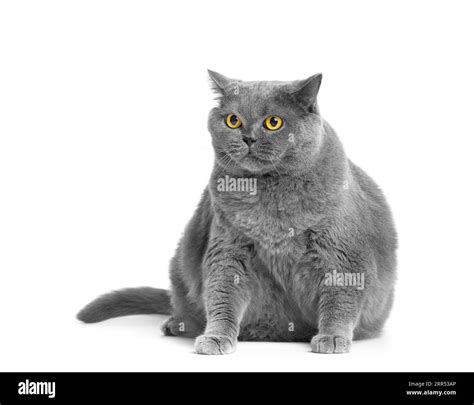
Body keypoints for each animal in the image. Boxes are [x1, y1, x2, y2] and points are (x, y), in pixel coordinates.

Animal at [77, 70, 396, 354]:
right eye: (233, 120)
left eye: (273, 122)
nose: (248, 138)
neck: (270, 194)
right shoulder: (229, 246)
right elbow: (222, 294)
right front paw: (216, 338)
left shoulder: (341, 254)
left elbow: (340, 299)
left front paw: (332, 337)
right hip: (182, 258)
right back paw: (178, 324)